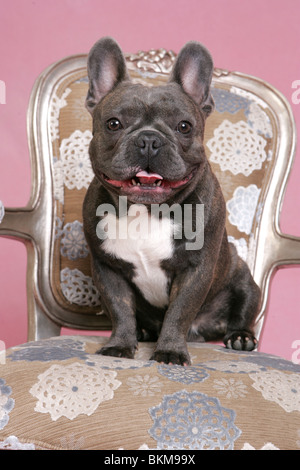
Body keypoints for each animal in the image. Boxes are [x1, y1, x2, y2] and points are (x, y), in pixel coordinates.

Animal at [82, 37, 260, 368]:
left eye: (184, 126)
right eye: (113, 123)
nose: (149, 140)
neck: (148, 211)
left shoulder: (195, 270)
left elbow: (179, 312)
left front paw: (170, 352)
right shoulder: (106, 269)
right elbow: (120, 310)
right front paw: (120, 345)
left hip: (244, 280)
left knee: (243, 310)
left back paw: (241, 337)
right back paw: (142, 333)